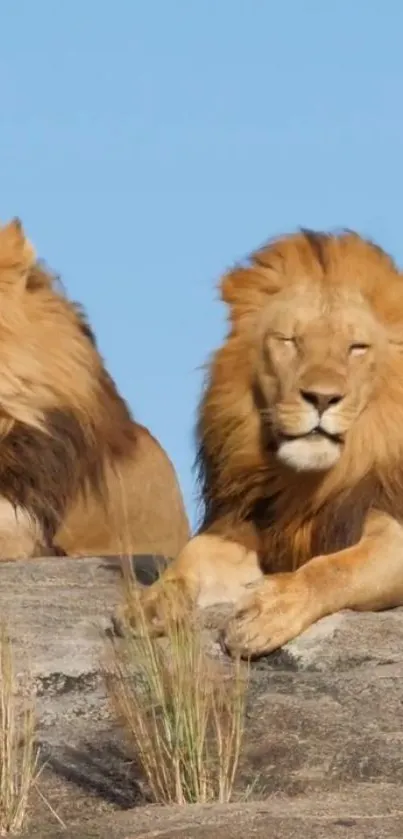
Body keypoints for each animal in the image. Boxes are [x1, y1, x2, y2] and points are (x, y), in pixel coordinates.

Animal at [119, 228, 403, 656]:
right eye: (289, 340)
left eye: (356, 348)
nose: (321, 398)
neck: (306, 481)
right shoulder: (252, 521)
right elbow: (194, 553)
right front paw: (153, 601)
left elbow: (335, 568)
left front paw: (269, 610)